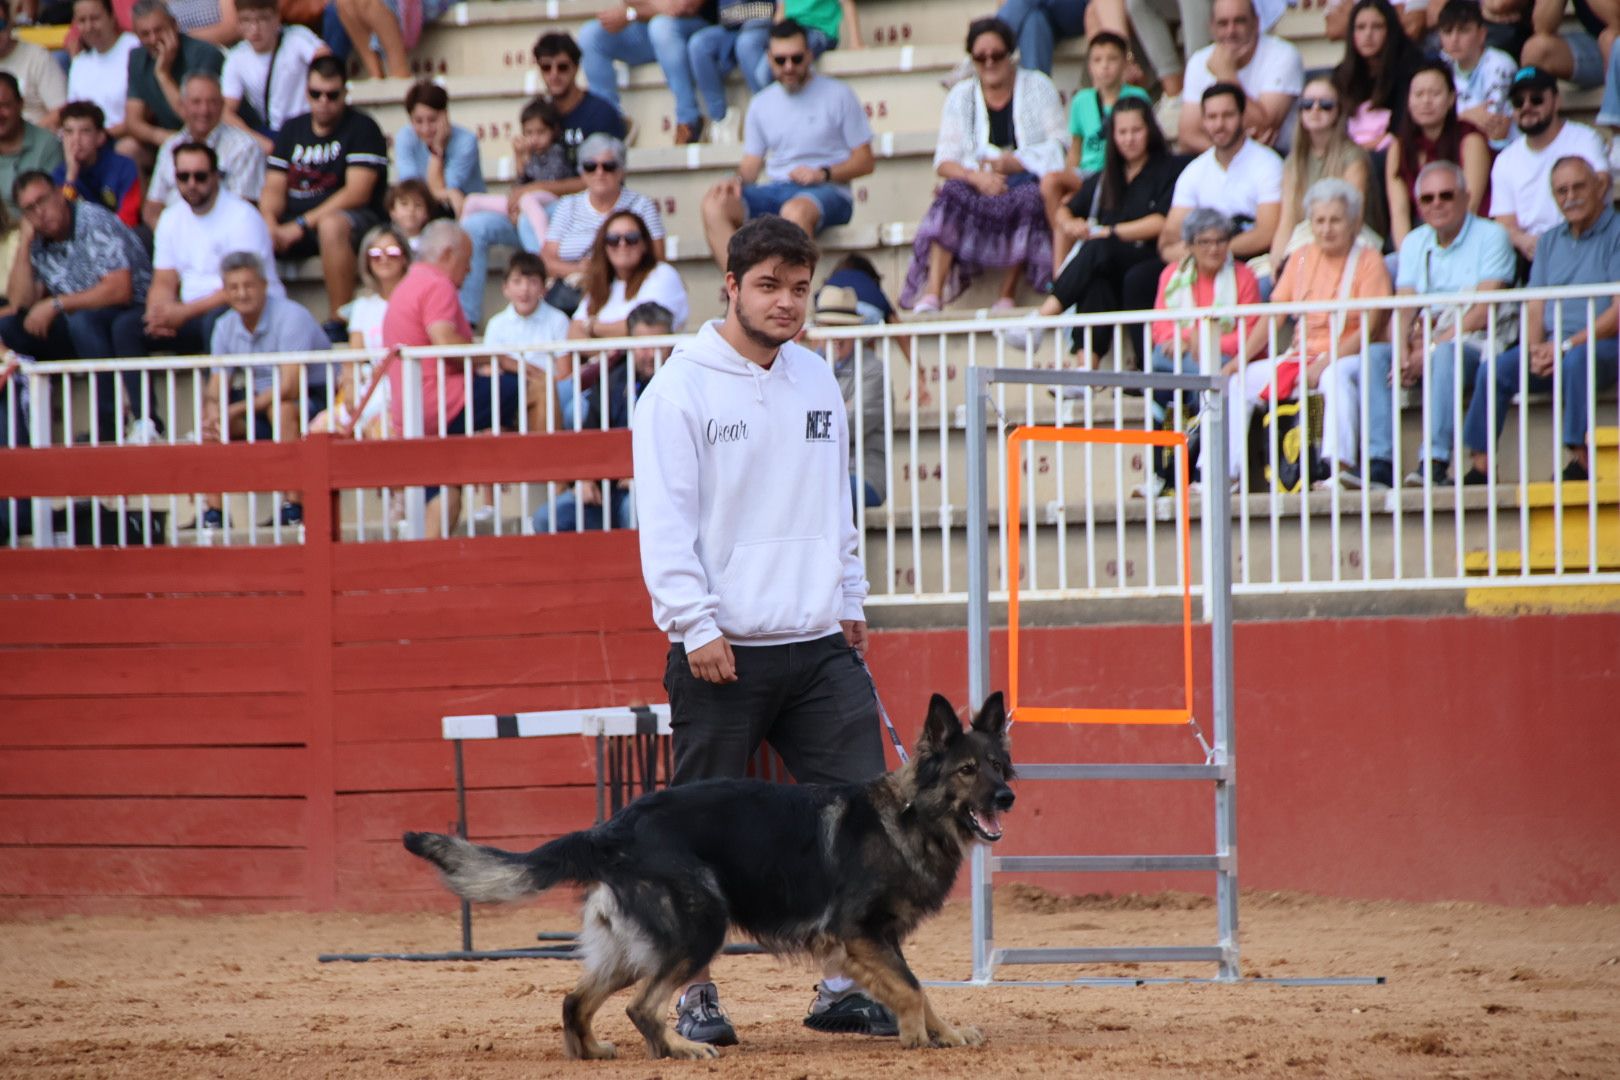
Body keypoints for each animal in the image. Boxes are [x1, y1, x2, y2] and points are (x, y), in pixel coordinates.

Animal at [405, 696, 1010, 1062]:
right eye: (966, 771)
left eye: (998, 766)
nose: (1007, 796)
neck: (910, 814)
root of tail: (614, 827)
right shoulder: (860, 933)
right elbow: (910, 987)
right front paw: (919, 1037)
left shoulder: (875, 941)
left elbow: (920, 988)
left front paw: (945, 1033)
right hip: (700, 929)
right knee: (641, 1006)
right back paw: (680, 1049)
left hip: (633, 948)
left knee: (575, 1001)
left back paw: (592, 1052)